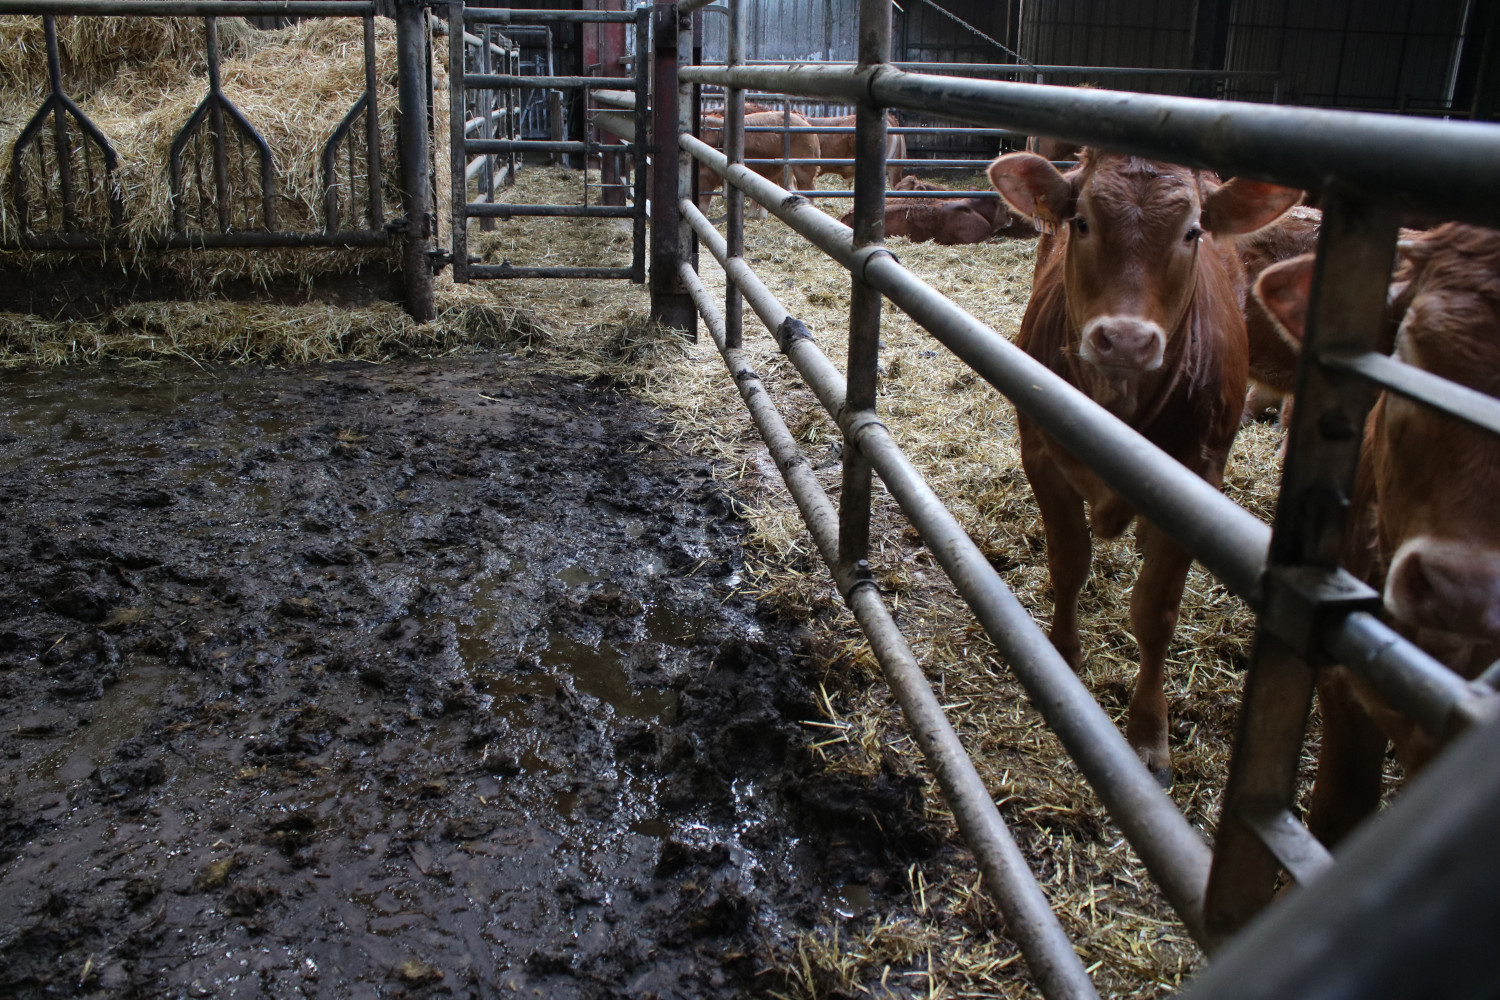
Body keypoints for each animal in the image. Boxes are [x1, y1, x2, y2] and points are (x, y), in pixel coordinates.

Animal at [984, 152, 1302, 785]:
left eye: (1192, 232)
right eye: (1081, 222)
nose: (1126, 340)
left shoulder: (1199, 478)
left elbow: (1155, 611)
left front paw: (1149, 734)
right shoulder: (1040, 454)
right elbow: (1068, 564)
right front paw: (1063, 658)